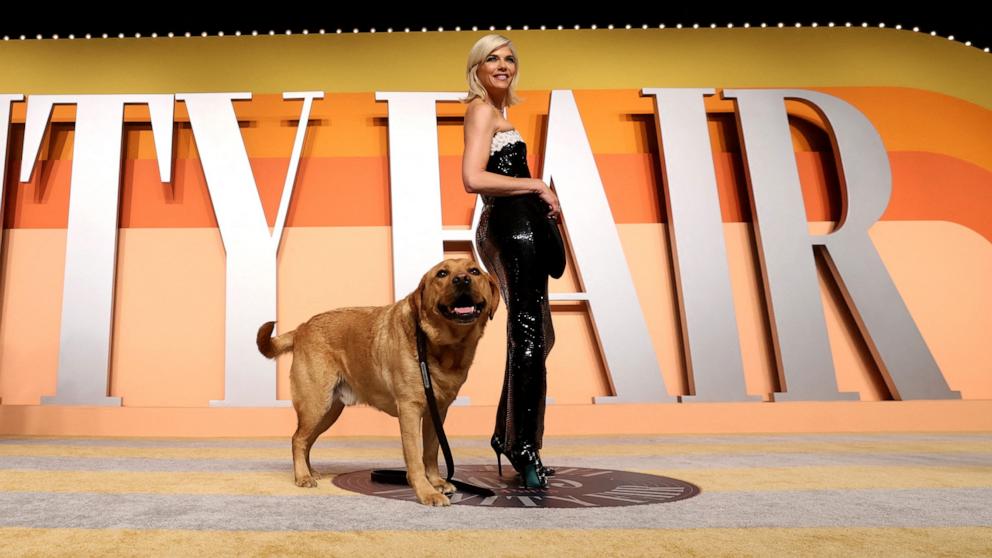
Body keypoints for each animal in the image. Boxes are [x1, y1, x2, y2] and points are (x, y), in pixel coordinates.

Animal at [258, 258, 500, 508]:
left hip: (328, 411)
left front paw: (436, 482)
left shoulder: (437, 413)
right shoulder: (410, 410)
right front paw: (427, 492)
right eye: (442, 274)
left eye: (474, 271)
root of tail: (302, 328)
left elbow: (431, 452)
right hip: (315, 404)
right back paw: (302, 476)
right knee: (297, 439)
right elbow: (415, 458)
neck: (443, 347)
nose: (462, 279)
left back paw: (309, 471)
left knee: (306, 440)